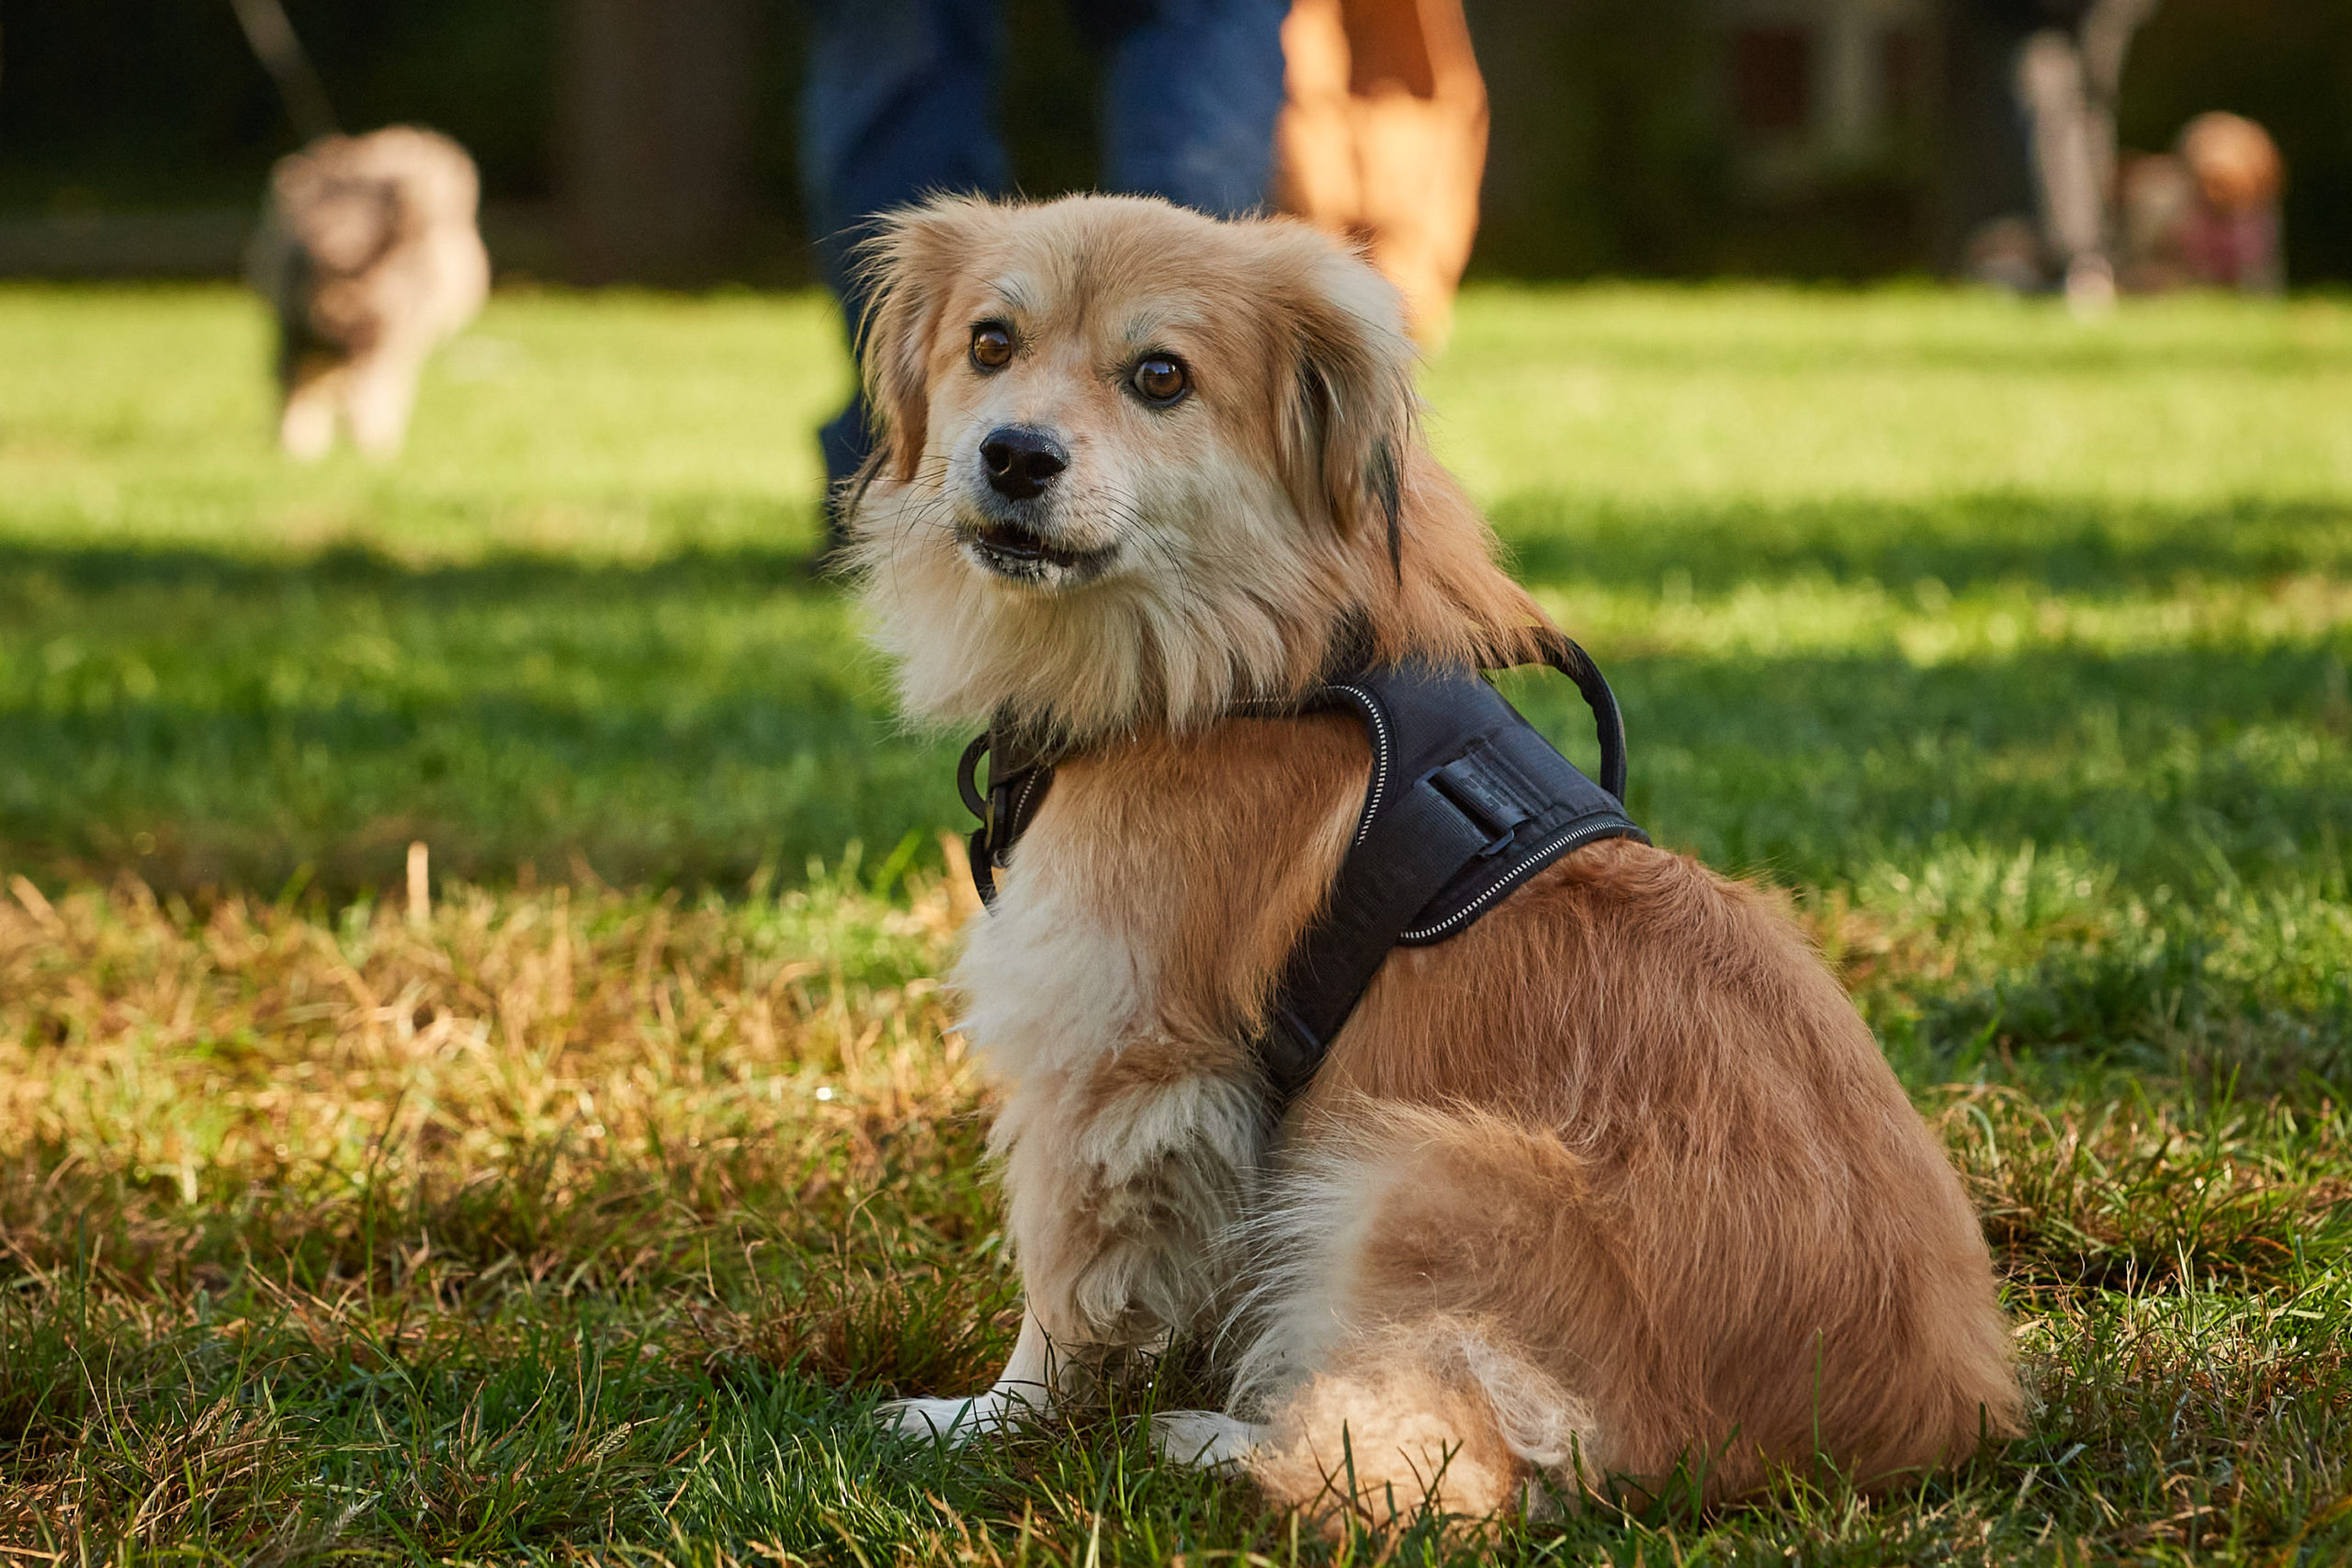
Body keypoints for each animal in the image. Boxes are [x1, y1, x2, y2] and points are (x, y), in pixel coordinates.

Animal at [246, 128, 486, 460]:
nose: (337, 252)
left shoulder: (385, 335)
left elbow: (371, 388)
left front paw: (370, 446)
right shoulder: (295, 329)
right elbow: (297, 385)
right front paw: (298, 450)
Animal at [846, 190, 2022, 1523]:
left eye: (1160, 376)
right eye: (991, 344)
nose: (1014, 454)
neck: (1248, 654)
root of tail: (1885, 1436)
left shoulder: (1117, 1054)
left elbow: (1067, 1289)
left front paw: (984, 1420)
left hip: (1409, 1169)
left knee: (1447, 1455)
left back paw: (1211, 1440)